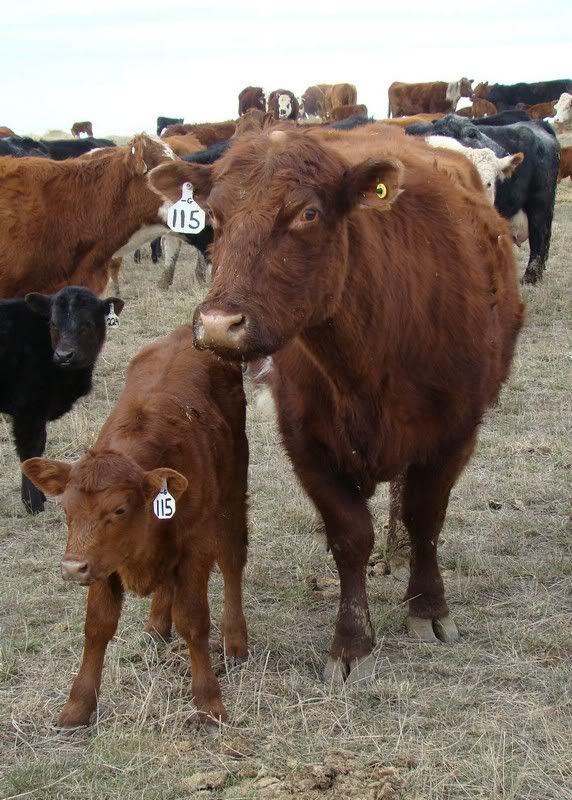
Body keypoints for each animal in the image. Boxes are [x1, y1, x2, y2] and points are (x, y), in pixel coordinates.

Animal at [1, 287, 122, 513]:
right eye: (53, 323)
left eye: (87, 323)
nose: (64, 355)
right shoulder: (28, 411)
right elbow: (30, 451)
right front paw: (33, 504)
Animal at [22, 326, 249, 728]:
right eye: (67, 509)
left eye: (120, 509)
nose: (71, 568)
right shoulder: (101, 562)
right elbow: (97, 626)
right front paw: (78, 705)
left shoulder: (195, 548)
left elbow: (194, 621)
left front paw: (209, 702)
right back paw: (156, 625)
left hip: (233, 489)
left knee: (233, 559)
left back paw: (235, 639)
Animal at [148, 122, 523, 683]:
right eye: (214, 216)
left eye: (308, 213)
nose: (218, 325)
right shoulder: (306, 442)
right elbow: (349, 536)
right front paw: (352, 643)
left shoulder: (455, 430)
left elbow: (426, 516)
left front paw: (428, 606)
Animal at [406, 115, 559, 282]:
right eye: (472, 133)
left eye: (489, 183)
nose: (504, 153)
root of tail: (537, 125)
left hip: (539, 204)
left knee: (538, 236)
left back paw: (530, 276)